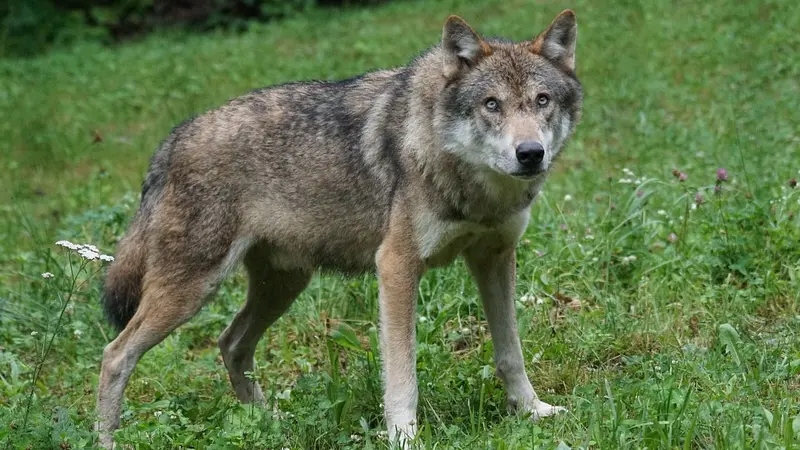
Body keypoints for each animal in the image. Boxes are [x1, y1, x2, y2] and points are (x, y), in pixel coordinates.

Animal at [95, 9, 583, 448]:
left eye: (542, 100)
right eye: (491, 104)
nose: (530, 153)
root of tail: (172, 140)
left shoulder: (494, 258)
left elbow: (510, 353)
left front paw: (533, 411)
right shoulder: (396, 267)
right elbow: (402, 374)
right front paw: (404, 437)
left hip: (282, 285)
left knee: (231, 343)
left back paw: (269, 422)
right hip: (192, 291)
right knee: (115, 355)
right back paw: (107, 439)